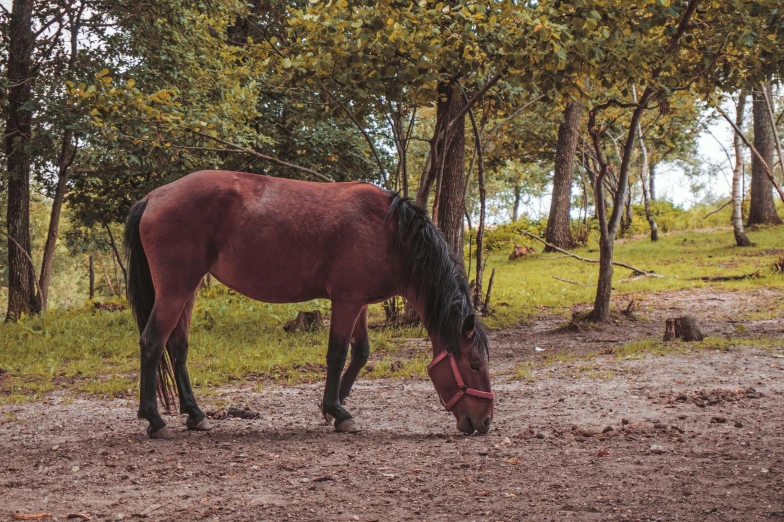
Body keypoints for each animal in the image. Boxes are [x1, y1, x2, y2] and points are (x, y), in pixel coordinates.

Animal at [125, 170, 494, 434]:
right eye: (475, 365)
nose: (485, 422)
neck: (390, 232)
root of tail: (153, 197)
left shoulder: (359, 302)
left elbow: (360, 354)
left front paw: (334, 406)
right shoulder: (346, 301)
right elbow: (337, 354)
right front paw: (337, 411)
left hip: (186, 292)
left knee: (177, 348)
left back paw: (195, 414)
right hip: (175, 291)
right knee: (152, 342)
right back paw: (155, 420)